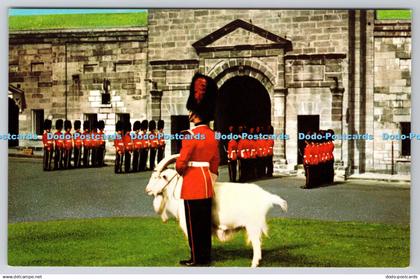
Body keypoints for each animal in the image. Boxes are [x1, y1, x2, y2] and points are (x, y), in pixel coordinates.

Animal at [146, 156, 288, 268]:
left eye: (157, 177)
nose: (147, 190)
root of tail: (266, 196)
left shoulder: (188, 224)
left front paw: (191, 261)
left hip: (253, 225)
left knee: (257, 244)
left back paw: (253, 264)